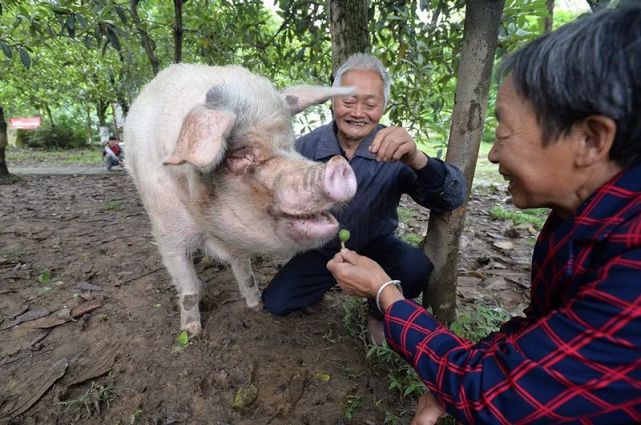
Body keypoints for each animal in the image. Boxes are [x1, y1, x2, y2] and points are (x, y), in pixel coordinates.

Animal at [122, 63, 358, 334]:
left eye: (291, 145)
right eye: (239, 156)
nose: (339, 164)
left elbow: (245, 272)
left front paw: (256, 308)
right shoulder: (167, 235)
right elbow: (187, 286)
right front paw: (192, 332)